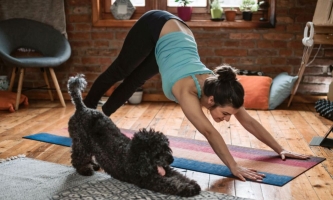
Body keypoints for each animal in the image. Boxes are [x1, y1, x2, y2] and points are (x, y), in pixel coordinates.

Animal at [66, 74, 198, 196]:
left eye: (166, 147)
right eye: (157, 152)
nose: (171, 159)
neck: (135, 156)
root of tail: (81, 108)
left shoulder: (166, 169)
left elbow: (178, 175)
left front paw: (192, 183)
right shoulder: (149, 179)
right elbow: (171, 183)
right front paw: (187, 188)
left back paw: (93, 165)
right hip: (81, 142)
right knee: (77, 157)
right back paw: (85, 169)